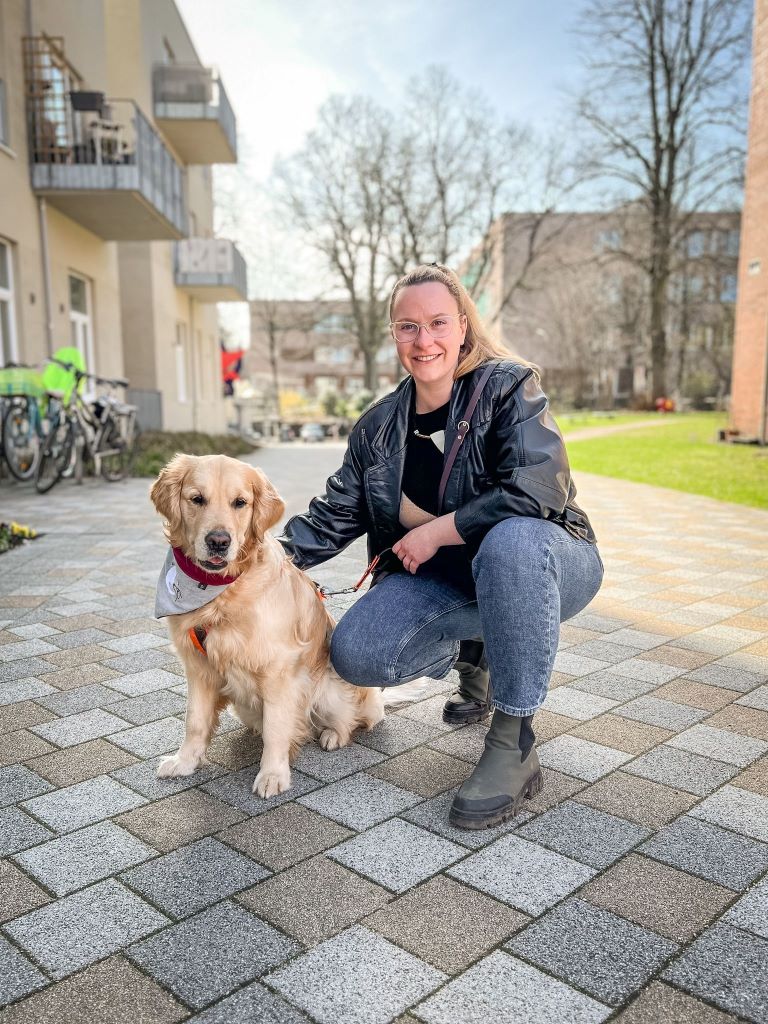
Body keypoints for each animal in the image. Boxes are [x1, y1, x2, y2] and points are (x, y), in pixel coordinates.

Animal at [150, 454, 391, 798]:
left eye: (240, 502)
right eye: (197, 499)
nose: (219, 541)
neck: (221, 591)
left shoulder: (279, 671)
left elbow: (277, 727)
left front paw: (273, 774)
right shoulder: (198, 667)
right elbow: (194, 720)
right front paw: (185, 762)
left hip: (331, 689)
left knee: (353, 719)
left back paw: (332, 734)